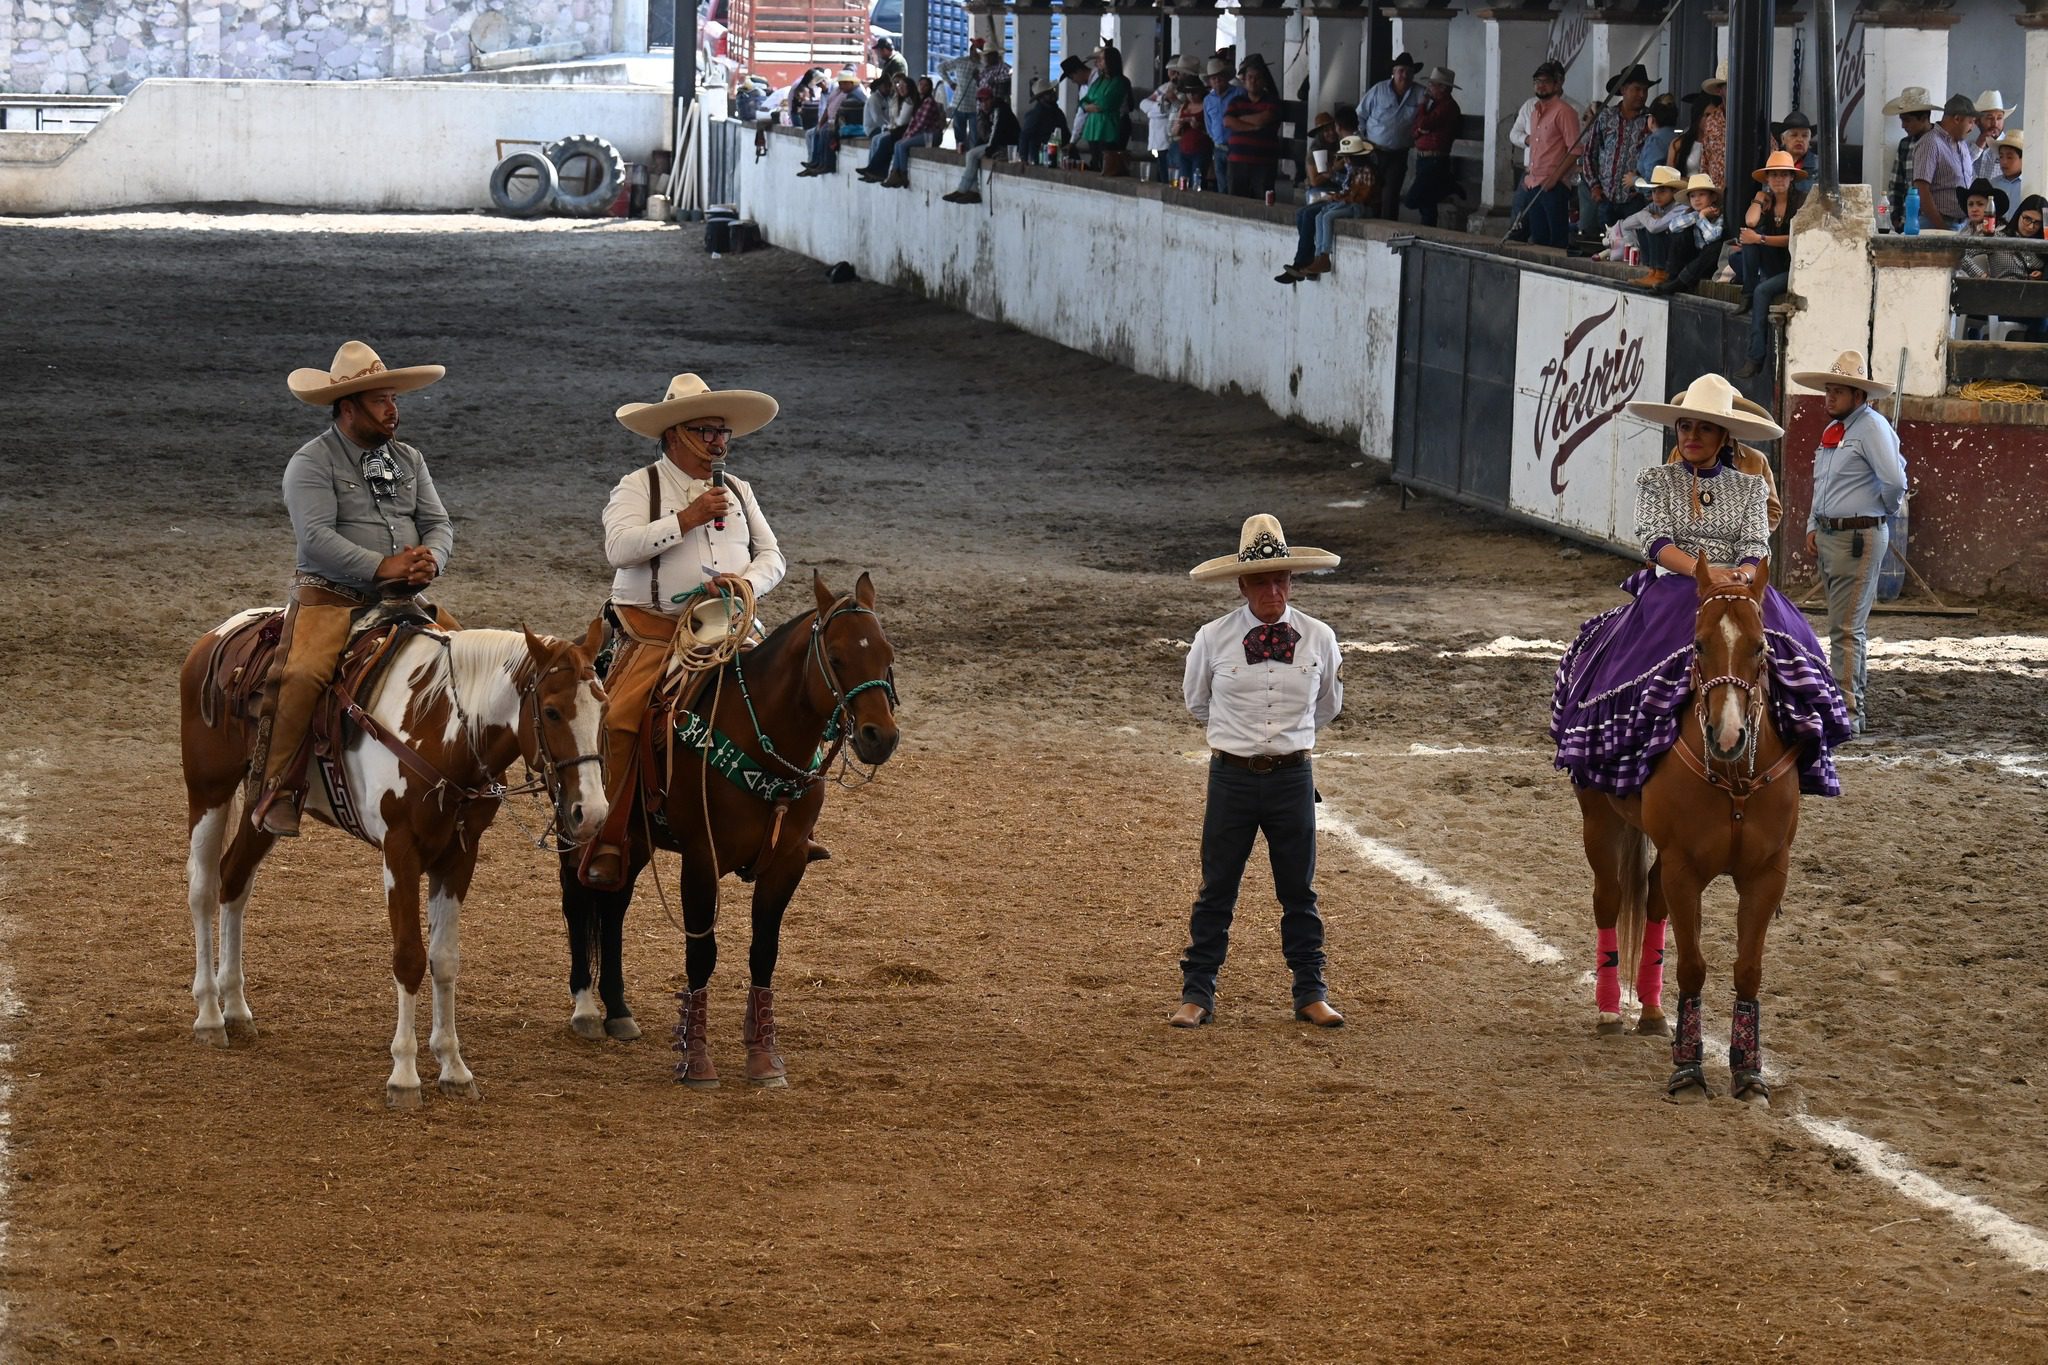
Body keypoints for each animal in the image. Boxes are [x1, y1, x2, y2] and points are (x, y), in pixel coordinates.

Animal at [178, 618, 598, 1113]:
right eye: (551, 712)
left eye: (603, 708)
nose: (592, 813)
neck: (441, 727)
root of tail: (218, 635)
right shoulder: (400, 850)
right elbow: (409, 957)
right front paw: (404, 1075)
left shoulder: (460, 855)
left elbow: (445, 960)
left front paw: (454, 1067)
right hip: (210, 789)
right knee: (204, 890)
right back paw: (209, 1014)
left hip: (262, 805)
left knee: (234, 881)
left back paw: (237, 1009)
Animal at [561, 573, 905, 1088]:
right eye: (837, 656)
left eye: (887, 652)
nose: (878, 736)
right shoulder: (702, 859)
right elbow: (701, 954)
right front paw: (696, 1061)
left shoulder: (787, 863)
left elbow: (764, 952)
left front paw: (764, 1058)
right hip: (578, 821)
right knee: (576, 899)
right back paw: (584, 1008)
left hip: (633, 839)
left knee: (614, 904)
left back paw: (619, 1010)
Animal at [1572, 560, 1802, 1105]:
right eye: (1697, 645)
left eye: (1760, 646)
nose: (1728, 734)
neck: (1735, 778)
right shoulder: (1685, 868)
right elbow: (1693, 966)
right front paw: (1688, 1071)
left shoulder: (1767, 873)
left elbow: (1748, 969)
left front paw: (1749, 1074)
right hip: (1599, 819)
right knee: (1609, 899)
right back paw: (1610, 1011)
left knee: (1652, 900)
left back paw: (1654, 1013)